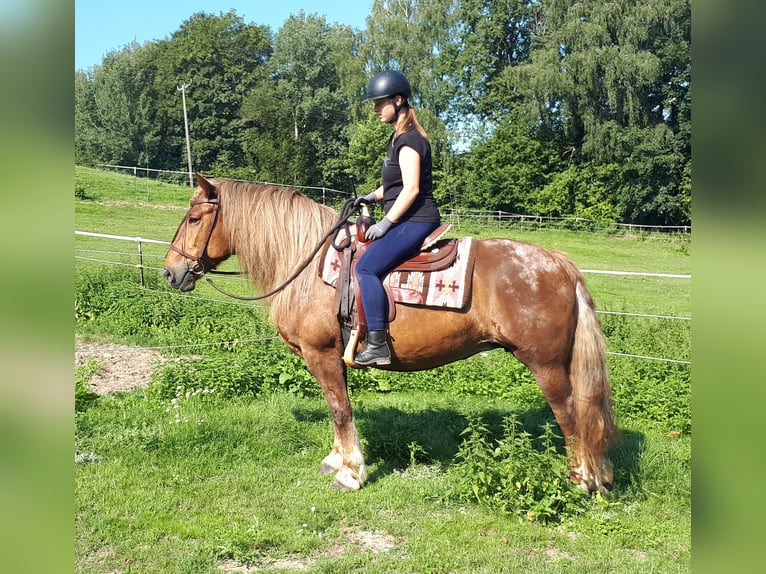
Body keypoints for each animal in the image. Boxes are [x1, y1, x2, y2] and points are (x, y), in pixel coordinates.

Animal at [163, 174, 619, 495]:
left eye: (194, 218)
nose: (171, 271)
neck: (308, 265)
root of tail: (560, 262)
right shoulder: (335, 357)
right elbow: (339, 408)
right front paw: (337, 459)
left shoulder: (322, 354)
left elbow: (340, 410)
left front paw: (351, 474)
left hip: (547, 366)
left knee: (572, 417)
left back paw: (581, 480)